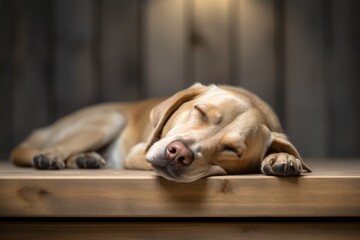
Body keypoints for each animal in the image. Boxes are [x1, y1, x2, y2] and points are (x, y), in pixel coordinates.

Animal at [10, 83, 310, 183]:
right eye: (200, 111)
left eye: (233, 150)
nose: (177, 154)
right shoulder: (138, 151)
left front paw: (283, 158)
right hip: (109, 119)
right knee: (51, 149)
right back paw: (51, 157)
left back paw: (86, 159)